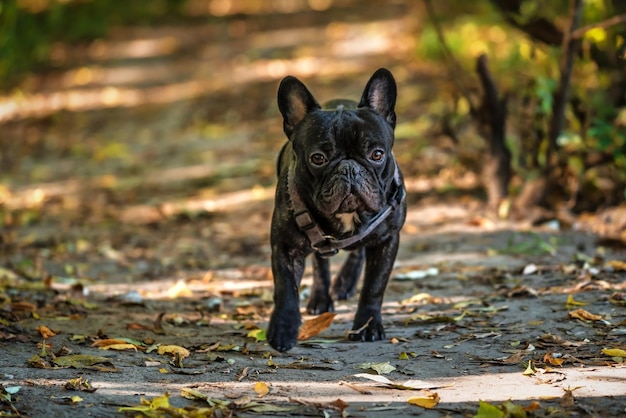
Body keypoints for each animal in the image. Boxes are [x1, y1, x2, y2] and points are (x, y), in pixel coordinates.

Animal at [264, 68, 404, 352]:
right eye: (318, 158)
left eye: (376, 154)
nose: (348, 168)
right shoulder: (285, 246)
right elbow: (286, 289)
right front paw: (283, 329)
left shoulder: (387, 240)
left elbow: (374, 285)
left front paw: (367, 326)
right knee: (321, 262)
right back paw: (321, 297)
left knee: (357, 252)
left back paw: (345, 282)